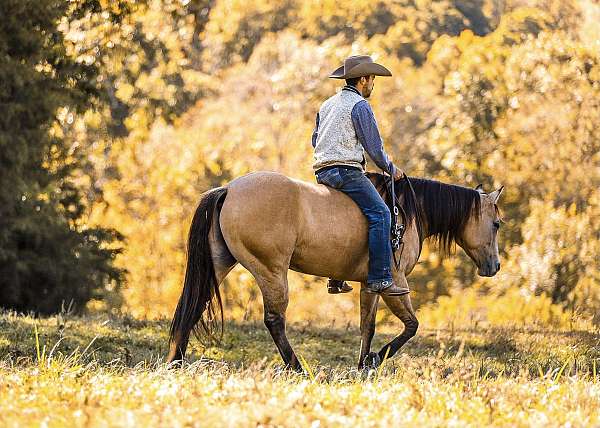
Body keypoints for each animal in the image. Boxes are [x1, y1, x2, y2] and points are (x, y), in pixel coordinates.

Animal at [166, 171, 504, 372]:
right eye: (497, 224)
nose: (495, 266)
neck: (405, 211)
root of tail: (229, 190)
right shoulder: (395, 284)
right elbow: (411, 326)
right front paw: (376, 358)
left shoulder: (371, 285)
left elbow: (367, 326)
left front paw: (364, 364)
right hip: (271, 271)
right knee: (274, 320)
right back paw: (297, 368)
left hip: (220, 263)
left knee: (193, 306)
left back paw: (175, 362)